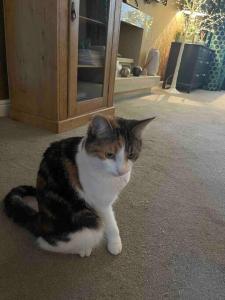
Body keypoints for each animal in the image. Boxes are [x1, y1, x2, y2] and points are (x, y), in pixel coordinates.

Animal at [3, 114, 155, 255]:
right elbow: (111, 223)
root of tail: (40, 219)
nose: (122, 171)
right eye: (109, 154)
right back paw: (83, 249)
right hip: (88, 224)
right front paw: (115, 244)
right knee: (46, 243)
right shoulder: (100, 203)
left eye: (131, 154)